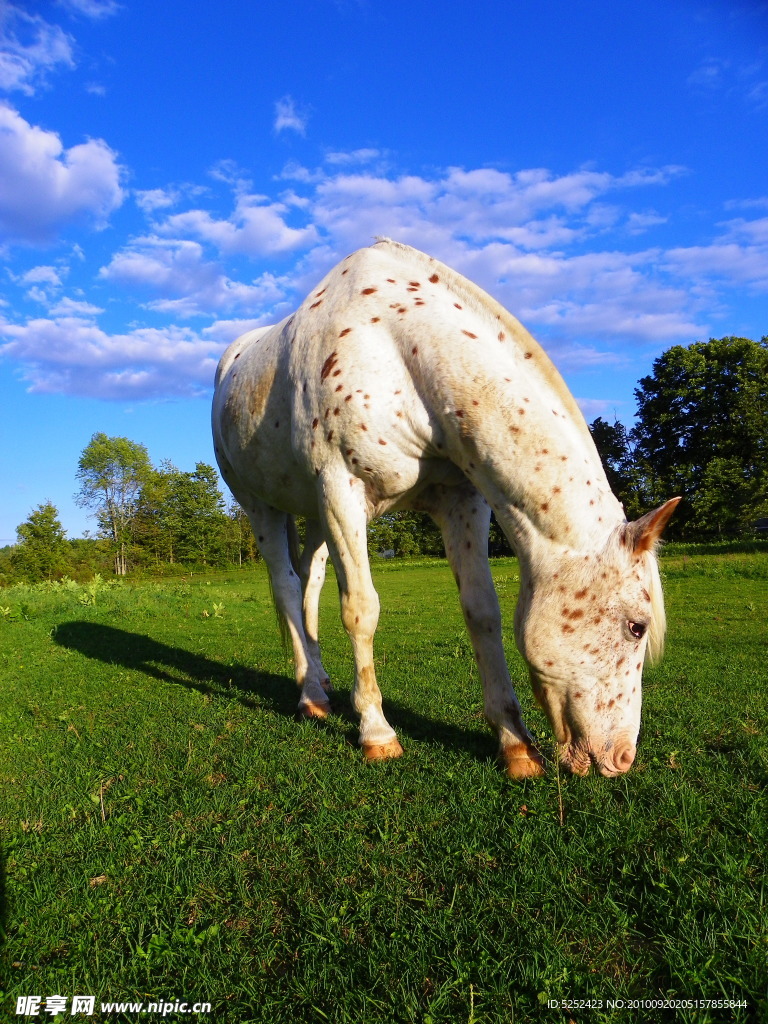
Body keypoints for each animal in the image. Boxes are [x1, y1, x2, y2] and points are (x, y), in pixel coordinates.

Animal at [211, 239, 679, 778]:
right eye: (636, 626)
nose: (622, 758)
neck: (400, 353)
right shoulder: (340, 490)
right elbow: (360, 610)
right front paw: (377, 732)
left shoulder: (461, 501)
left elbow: (482, 611)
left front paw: (515, 745)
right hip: (263, 507)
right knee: (286, 587)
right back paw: (310, 695)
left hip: (314, 515)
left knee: (309, 579)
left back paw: (321, 679)